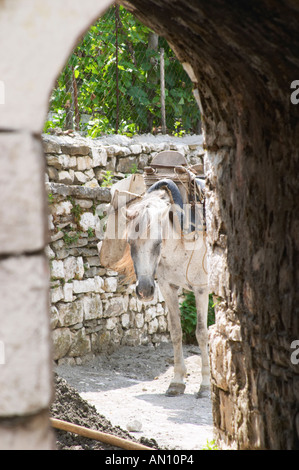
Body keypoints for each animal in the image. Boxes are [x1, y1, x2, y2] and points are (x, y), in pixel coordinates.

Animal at [112, 179, 211, 396]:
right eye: (130, 242)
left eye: (158, 243)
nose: (144, 290)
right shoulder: (168, 288)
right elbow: (175, 332)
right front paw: (177, 382)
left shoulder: (201, 290)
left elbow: (201, 333)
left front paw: (206, 385)